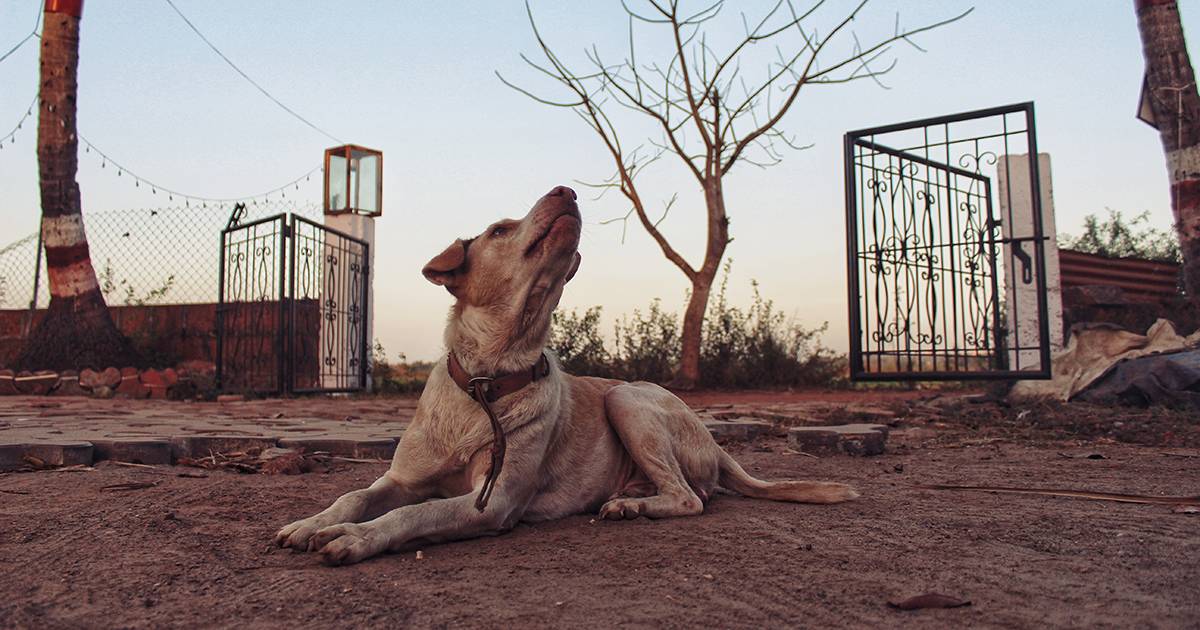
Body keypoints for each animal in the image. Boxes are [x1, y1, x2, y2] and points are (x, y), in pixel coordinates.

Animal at [274, 184, 854, 561]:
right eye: (499, 230)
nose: (566, 189)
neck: (486, 384)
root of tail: (716, 444)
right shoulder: (399, 479)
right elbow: (354, 497)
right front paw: (312, 523)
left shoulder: (493, 501)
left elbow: (411, 516)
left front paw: (354, 537)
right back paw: (630, 500)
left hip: (627, 399)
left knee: (691, 497)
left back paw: (635, 506)